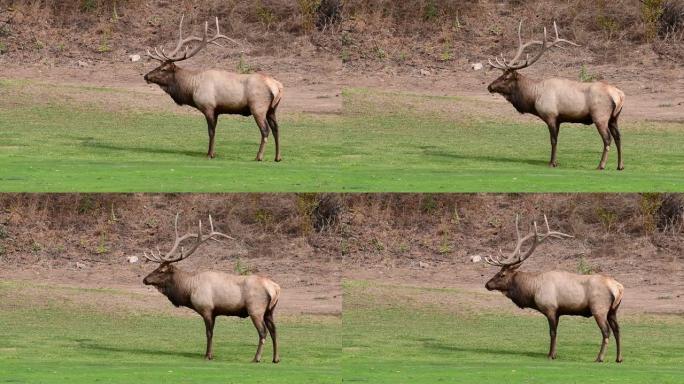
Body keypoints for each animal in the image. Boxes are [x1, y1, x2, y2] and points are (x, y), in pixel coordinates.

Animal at [143, 216, 282, 364]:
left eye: (161, 271)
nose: (145, 279)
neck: (188, 290)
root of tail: (275, 288)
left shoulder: (206, 309)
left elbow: (209, 333)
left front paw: (208, 355)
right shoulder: (215, 312)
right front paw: (209, 354)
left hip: (255, 309)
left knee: (263, 332)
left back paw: (256, 358)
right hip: (269, 311)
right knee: (274, 331)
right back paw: (276, 358)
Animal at [144, 16, 284, 160]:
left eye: (163, 69)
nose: (146, 76)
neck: (192, 88)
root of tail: (277, 87)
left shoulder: (208, 107)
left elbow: (211, 131)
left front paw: (210, 154)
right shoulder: (217, 110)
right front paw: (211, 152)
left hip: (258, 107)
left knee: (265, 130)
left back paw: (259, 156)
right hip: (272, 109)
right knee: (277, 129)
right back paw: (277, 157)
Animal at [484, 216, 624, 364]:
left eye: (502, 274)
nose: (487, 284)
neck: (533, 290)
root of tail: (618, 288)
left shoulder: (550, 308)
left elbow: (552, 332)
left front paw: (550, 355)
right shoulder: (558, 312)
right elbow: (556, 332)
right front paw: (554, 353)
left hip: (599, 308)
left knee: (606, 331)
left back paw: (600, 357)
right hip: (613, 311)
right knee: (617, 330)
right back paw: (619, 358)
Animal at [486, 21, 624, 170]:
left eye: (506, 77)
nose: (490, 86)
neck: (534, 97)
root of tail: (619, 95)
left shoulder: (550, 115)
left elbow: (553, 140)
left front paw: (552, 162)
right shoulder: (559, 119)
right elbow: (556, 139)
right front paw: (555, 161)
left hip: (600, 116)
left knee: (607, 138)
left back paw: (601, 165)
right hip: (614, 118)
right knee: (618, 137)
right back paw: (620, 165)